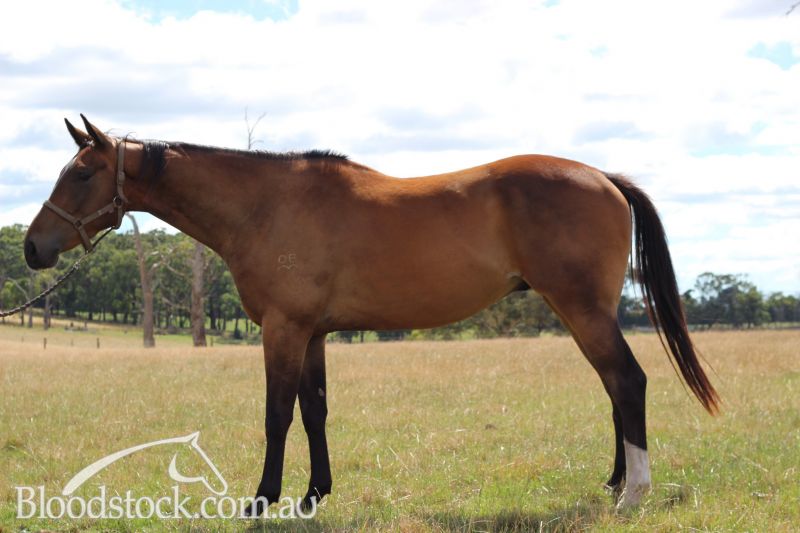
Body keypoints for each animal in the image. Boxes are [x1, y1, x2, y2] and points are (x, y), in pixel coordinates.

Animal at [24, 115, 719, 514]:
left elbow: (277, 415)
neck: (267, 206)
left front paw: (262, 500)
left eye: (81, 173)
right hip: (579, 311)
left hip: (582, 308)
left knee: (627, 382)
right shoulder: (312, 334)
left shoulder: (283, 330)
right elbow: (314, 411)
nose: (32, 248)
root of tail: (603, 176)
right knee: (614, 388)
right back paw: (614, 483)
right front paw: (313, 495)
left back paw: (632, 494)